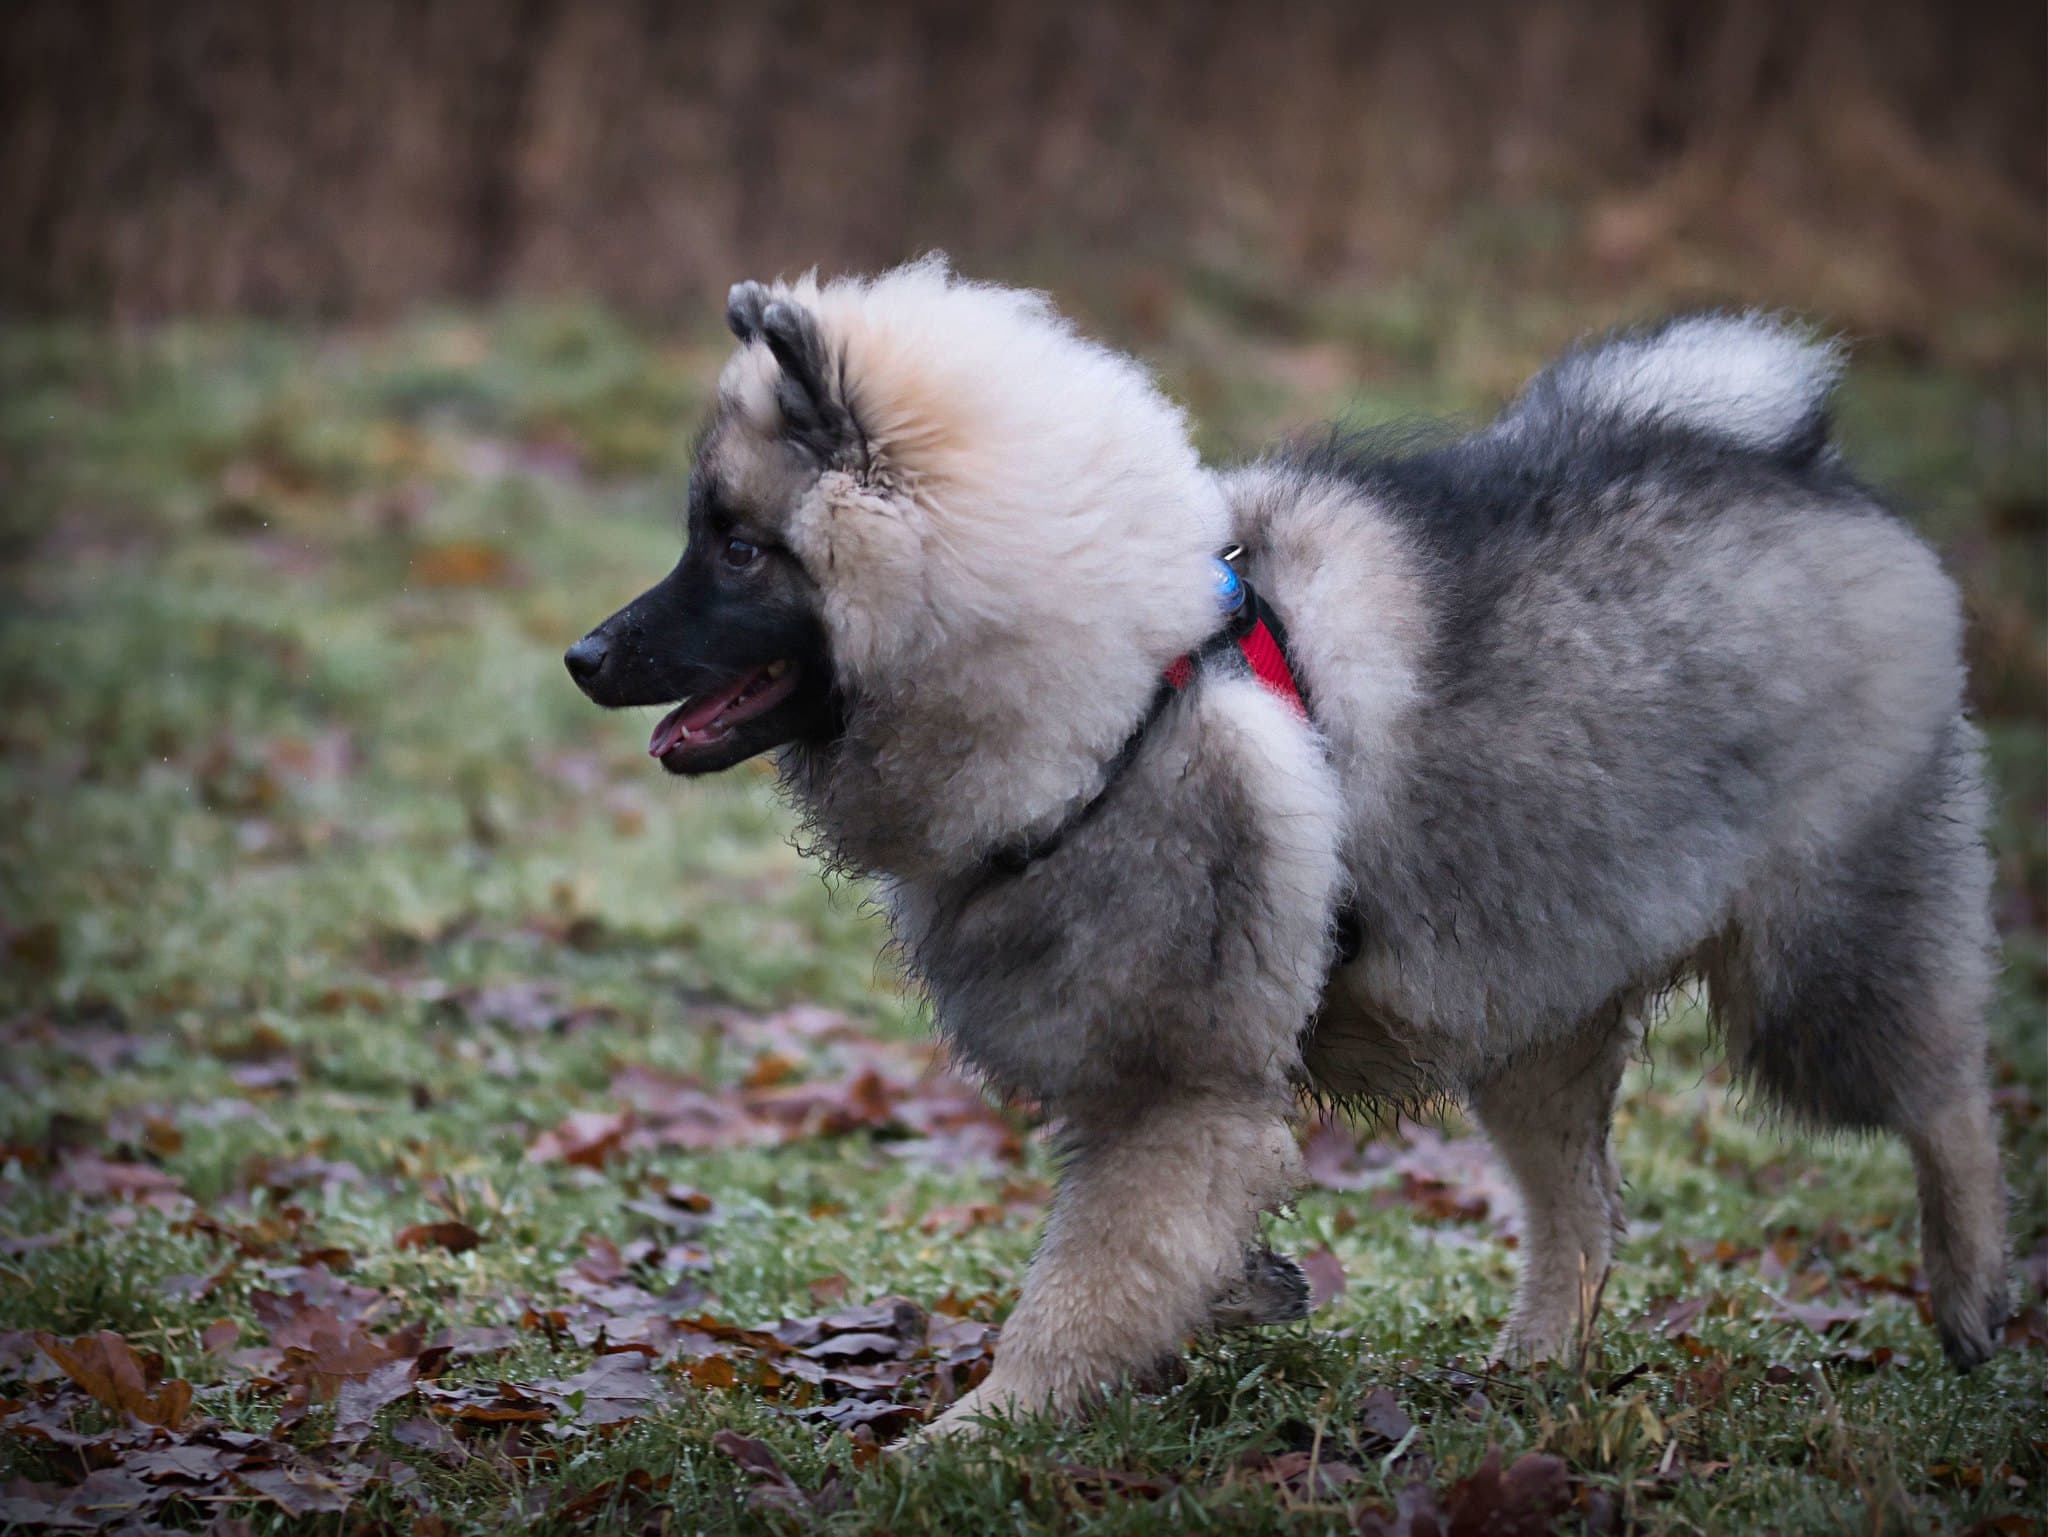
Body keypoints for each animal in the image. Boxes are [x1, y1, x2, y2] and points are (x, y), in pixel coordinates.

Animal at [569, 262, 2007, 1434]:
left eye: (737, 547)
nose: (583, 656)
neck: (1123, 688)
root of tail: (1801, 468)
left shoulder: (1181, 1092)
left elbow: (1083, 1289)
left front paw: (973, 1434)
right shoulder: (1138, 1084)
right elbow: (1153, 1262)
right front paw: (1235, 1301)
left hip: (1812, 970)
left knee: (1943, 1088)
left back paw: (1970, 1291)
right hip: (1531, 992)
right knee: (1583, 1213)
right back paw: (1534, 1367)